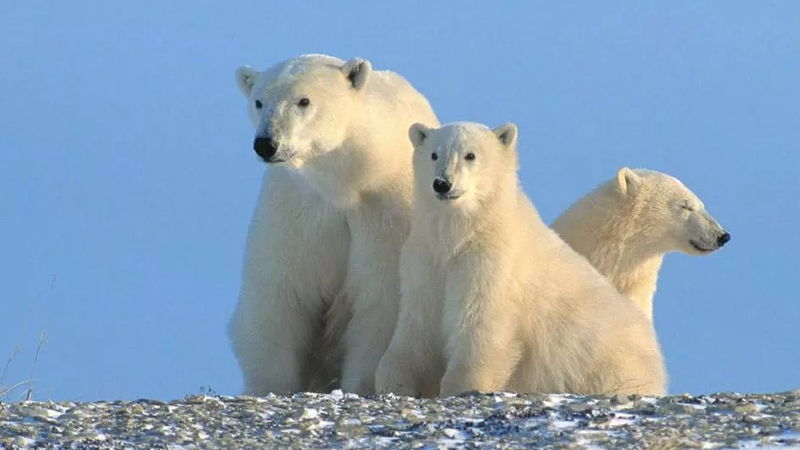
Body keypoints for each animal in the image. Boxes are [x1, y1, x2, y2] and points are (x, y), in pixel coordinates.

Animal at [228, 54, 440, 396]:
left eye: (303, 100)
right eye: (259, 101)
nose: (266, 144)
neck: (345, 183)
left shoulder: (383, 216)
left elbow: (377, 305)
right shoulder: (297, 213)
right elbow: (280, 298)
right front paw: (272, 385)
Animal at [378, 121, 664, 396]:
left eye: (470, 155)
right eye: (434, 154)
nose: (442, 183)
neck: (463, 234)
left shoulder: (490, 265)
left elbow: (479, 326)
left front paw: (460, 385)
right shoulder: (426, 261)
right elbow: (418, 325)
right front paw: (397, 381)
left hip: (607, 363)